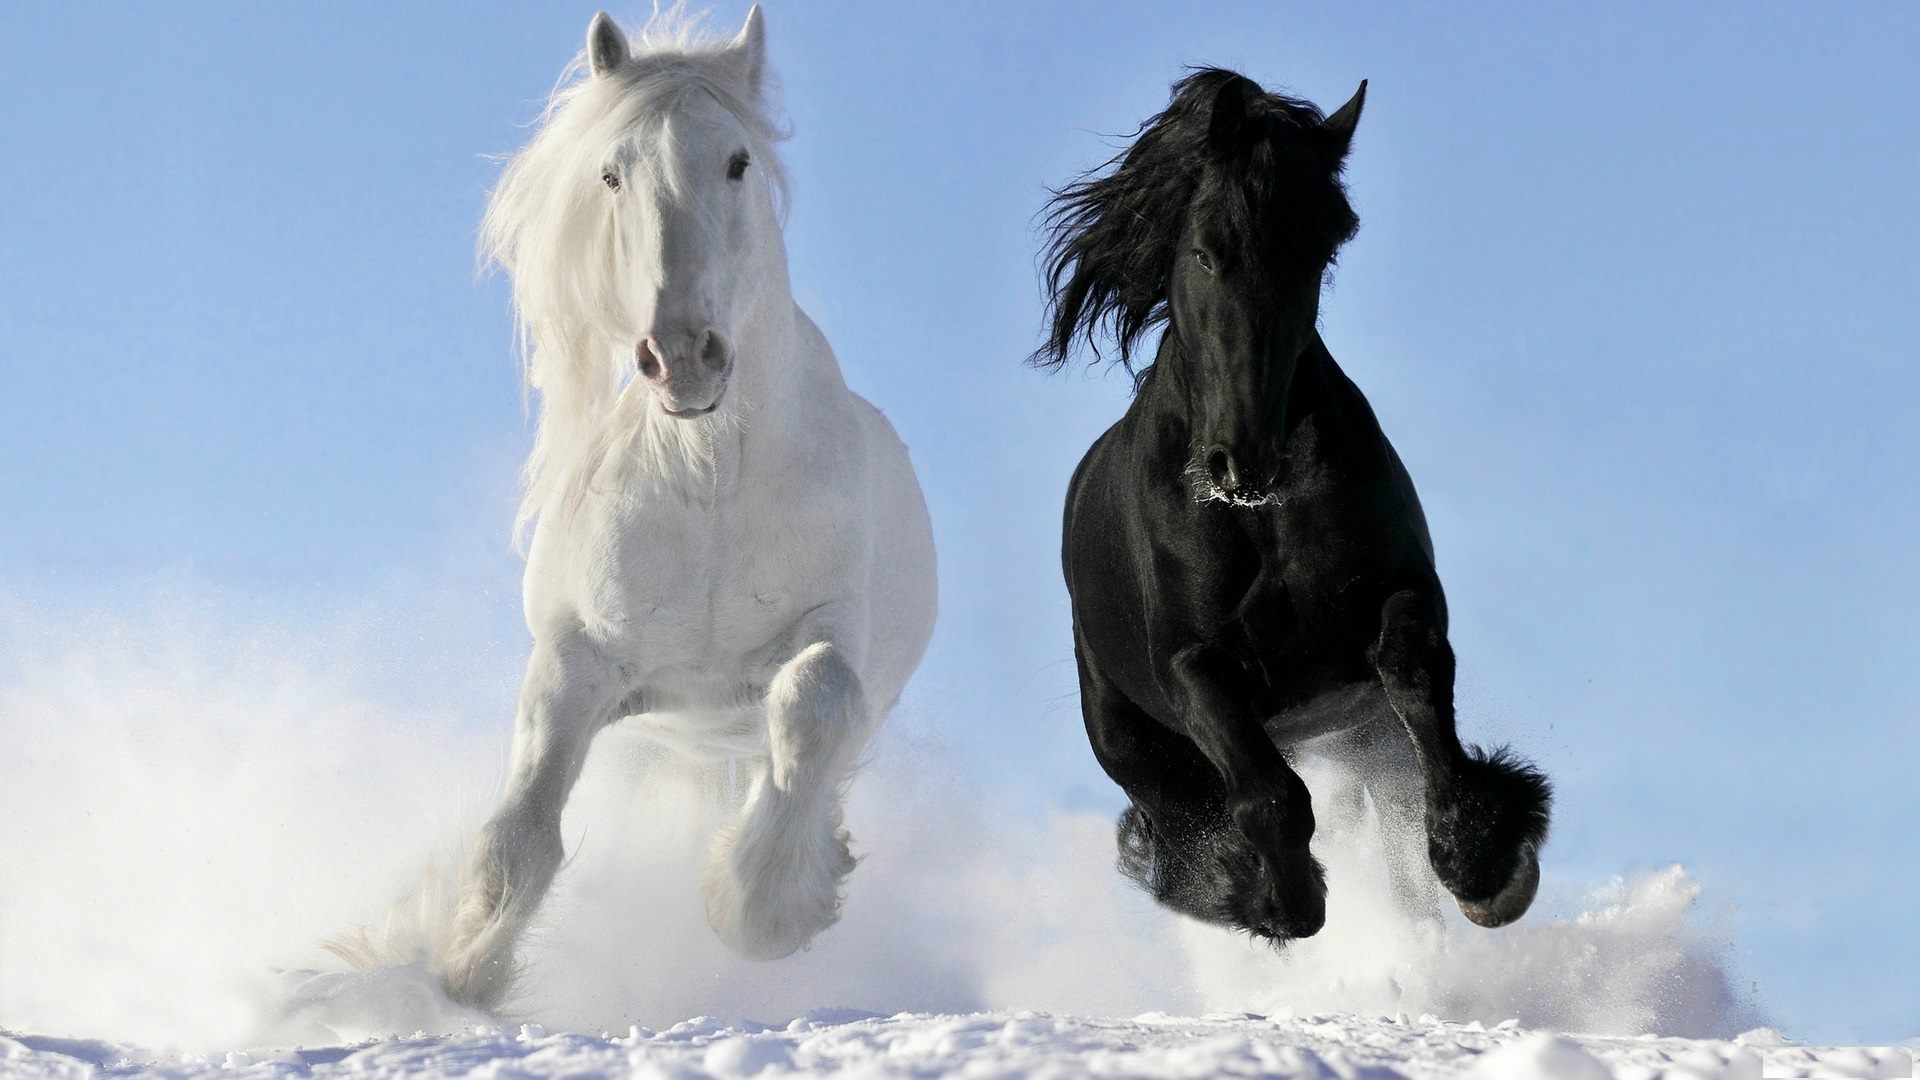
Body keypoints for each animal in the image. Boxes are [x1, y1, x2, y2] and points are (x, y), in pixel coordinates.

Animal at [441, 6, 936, 1006]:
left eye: (738, 160)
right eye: (611, 172)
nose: (681, 356)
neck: (709, 480)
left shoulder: (832, 630)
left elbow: (816, 700)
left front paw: (761, 909)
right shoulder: (578, 660)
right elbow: (520, 834)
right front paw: (461, 972)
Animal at [1036, 69, 1543, 941]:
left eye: (1318, 253)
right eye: (1206, 250)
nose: (1242, 459)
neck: (1259, 517)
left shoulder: (1401, 596)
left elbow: (1415, 676)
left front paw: (1484, 861)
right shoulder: (1193, 667)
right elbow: (1268, 798)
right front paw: (1274, 897)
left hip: (1360, 734)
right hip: (1134, 742)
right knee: (1183, 823)